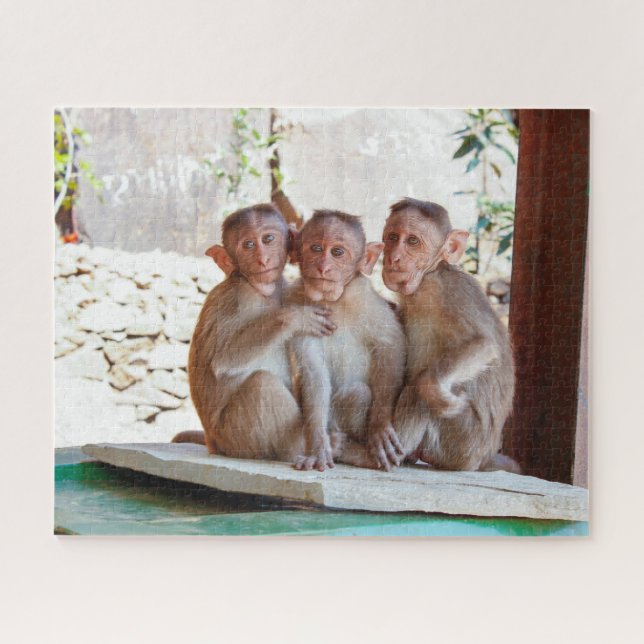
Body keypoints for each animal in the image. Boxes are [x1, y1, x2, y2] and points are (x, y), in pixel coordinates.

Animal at [177, 203, 338, 462]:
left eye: (268, 239)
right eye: (248, 245)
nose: (263, 260)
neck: (261, 290)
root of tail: (213, 443)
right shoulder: (240, 298)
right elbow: (222, 360)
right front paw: (294, 317)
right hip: (236, 437)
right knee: (261, 384)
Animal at [286, 210, 406, 471]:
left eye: (338, 252)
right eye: (316, 248)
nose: (324, 267)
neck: (332, 300)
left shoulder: (365, 298)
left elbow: (391, 346)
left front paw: (380, 425)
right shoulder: (296, 303)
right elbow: (313, 372)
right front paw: (318, 447)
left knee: (358, 393)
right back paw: (335, 443)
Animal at [381, 197, 518, 472]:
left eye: (413, 241)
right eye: (392, 237)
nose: (394, 257)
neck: (429, 274)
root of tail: (482, 458)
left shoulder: (447, 291)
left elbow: (485, 345)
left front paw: (436, 391)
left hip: (462, 444)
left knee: (418, 389)